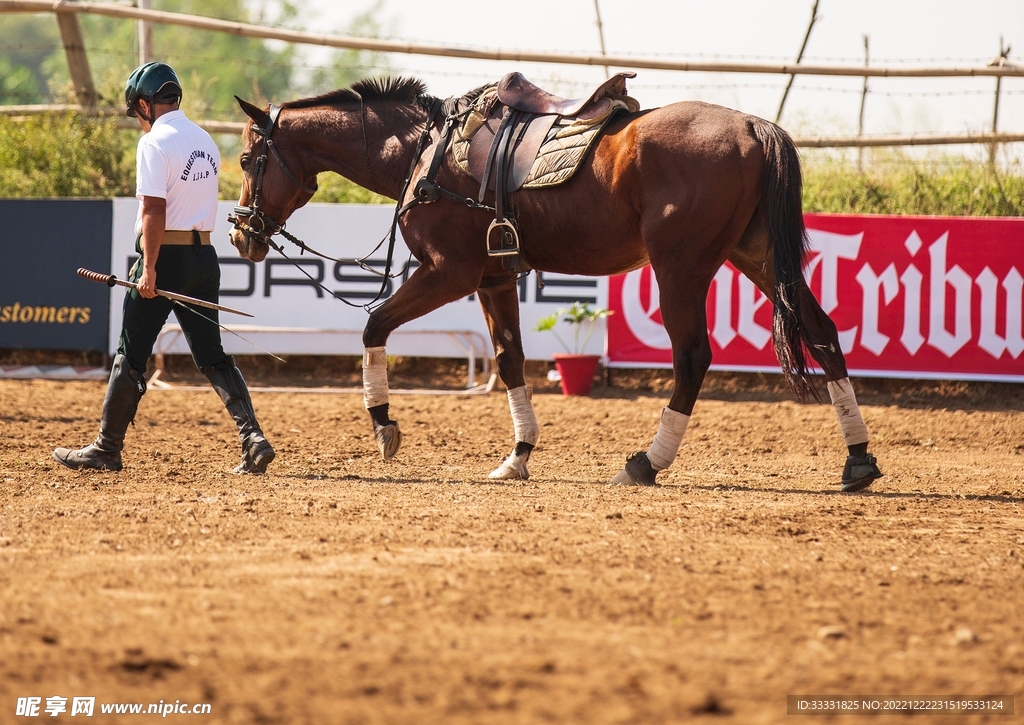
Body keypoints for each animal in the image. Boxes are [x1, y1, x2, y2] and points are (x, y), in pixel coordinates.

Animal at [228, 75, 883, 492]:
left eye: (246, 160)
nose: (241, 235)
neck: (425, 151)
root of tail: (751, 126)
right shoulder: (494, 279)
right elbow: (510, 360)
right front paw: (517, 456)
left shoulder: (448, 273)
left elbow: (374, 324)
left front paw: (384, 424)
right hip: (759, 259)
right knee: (822, 332)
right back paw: (858, 460)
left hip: (681, 267)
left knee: (693, 356)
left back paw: (646, 463)